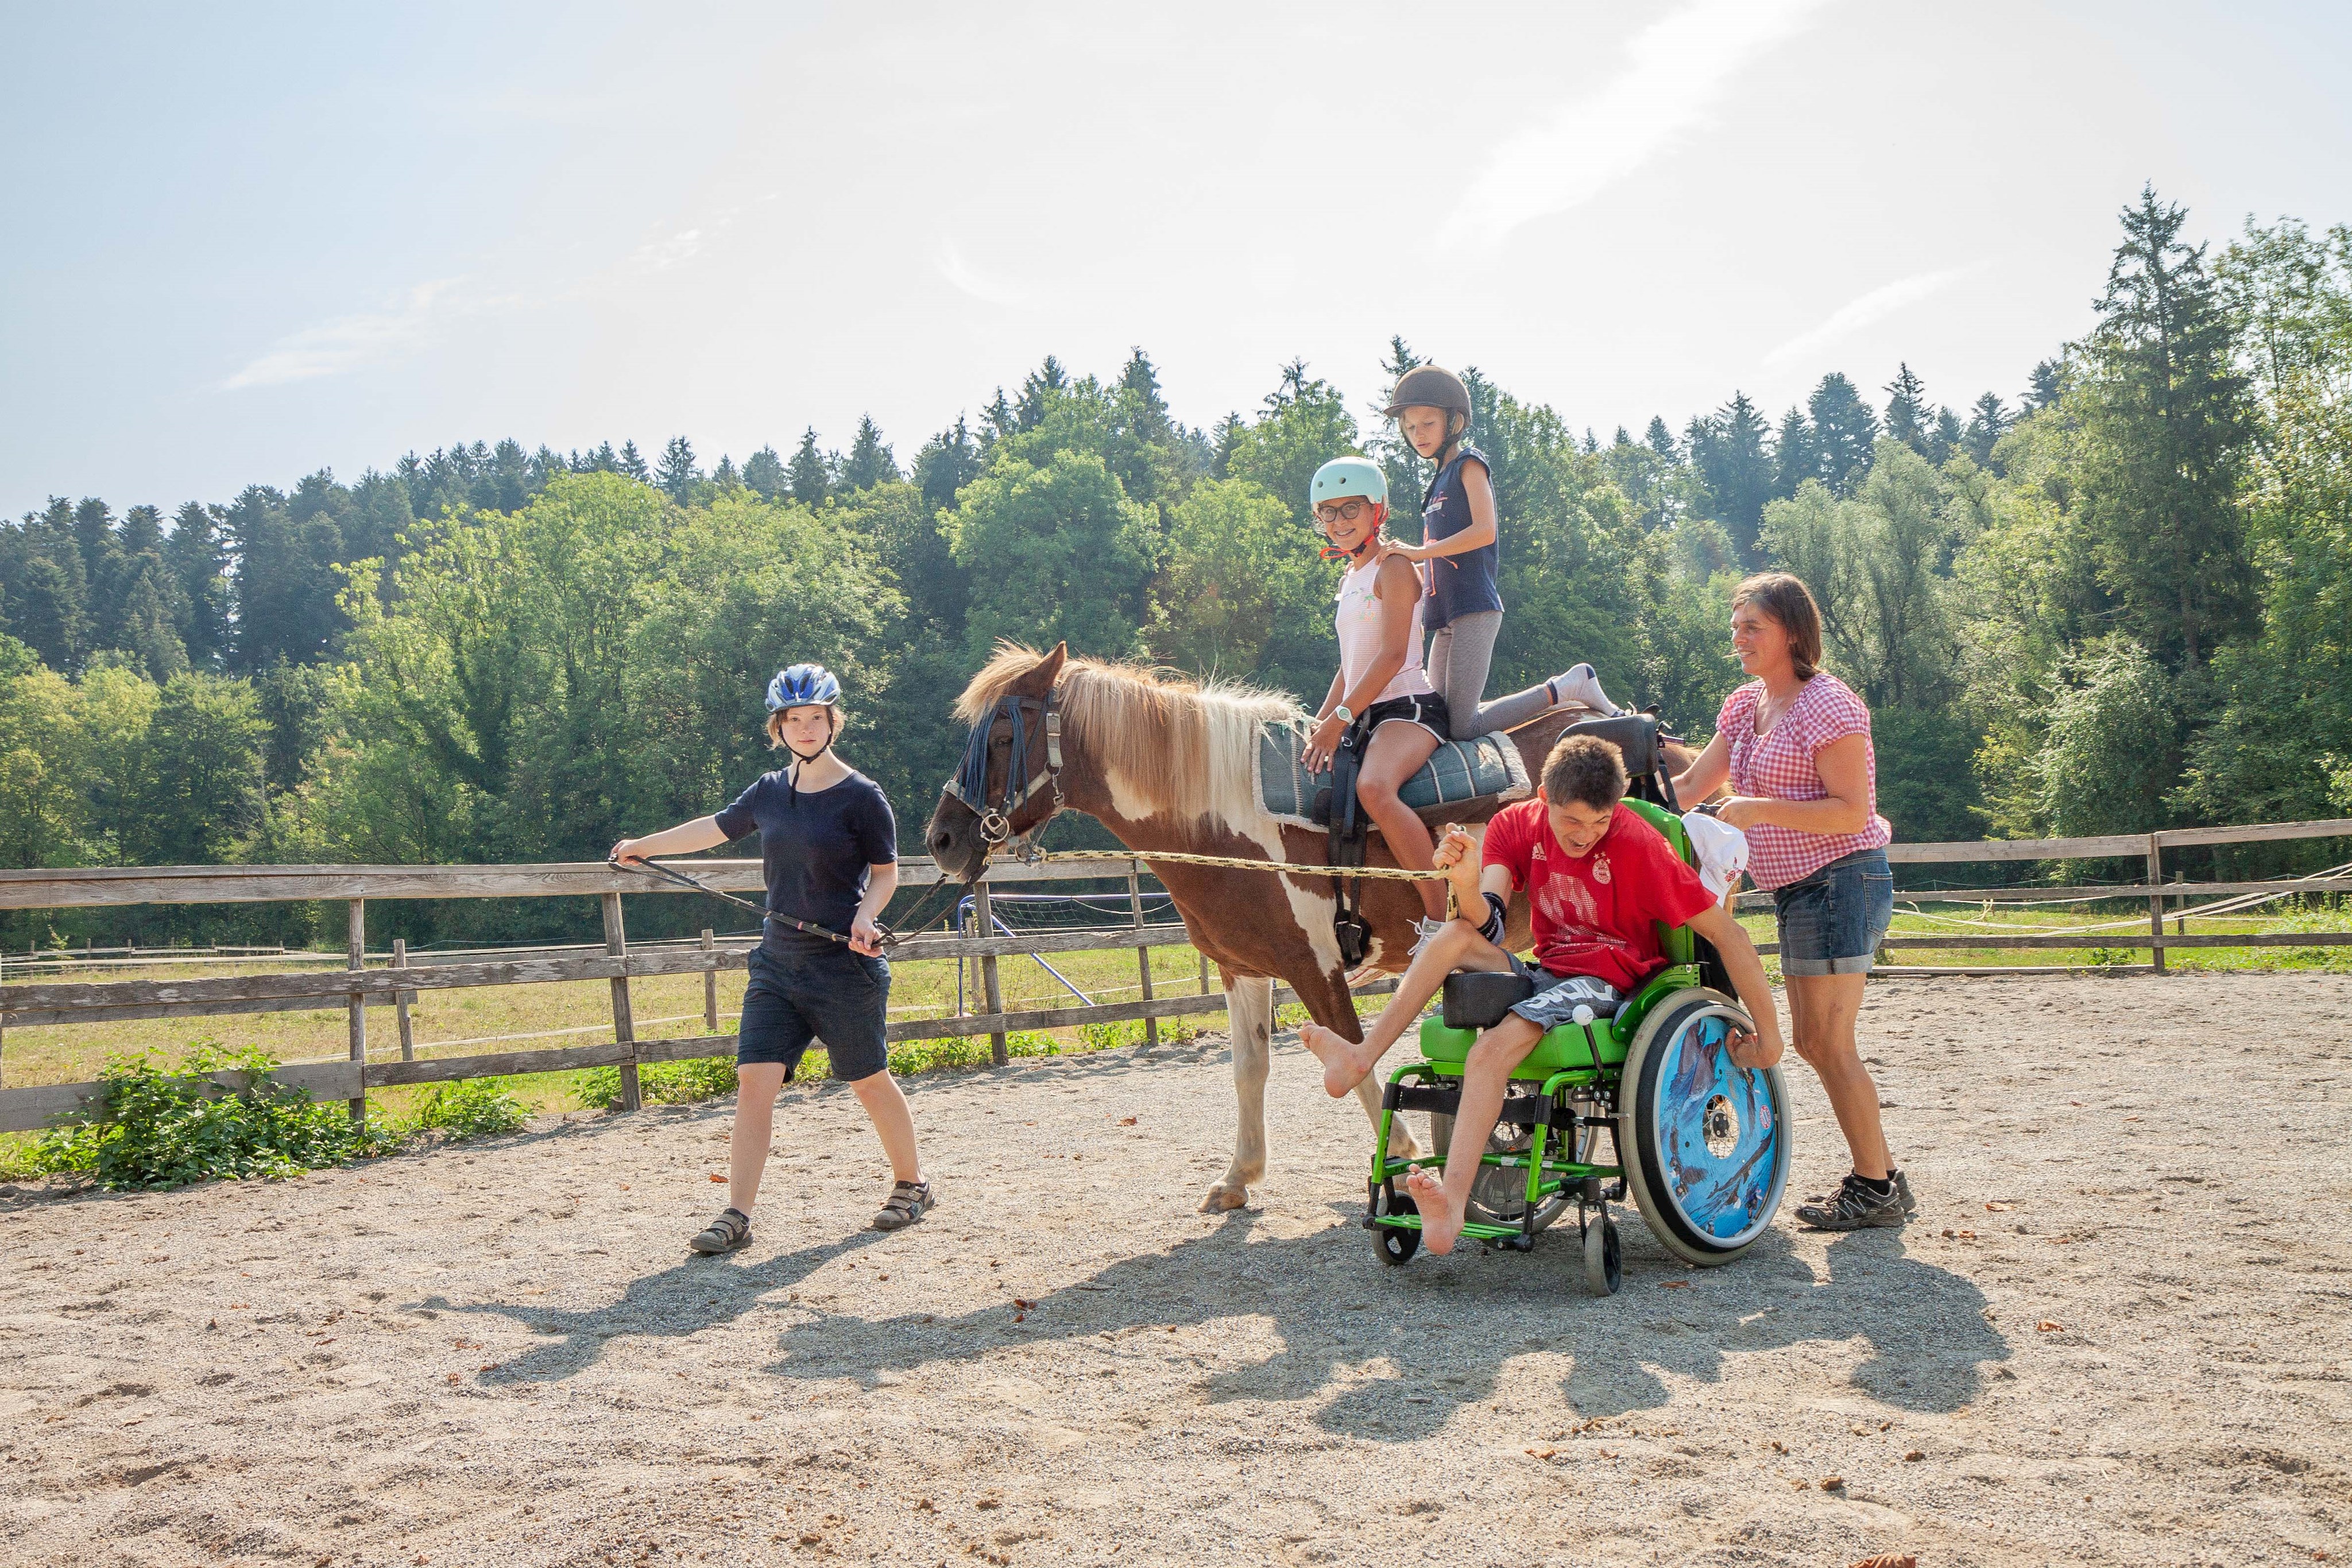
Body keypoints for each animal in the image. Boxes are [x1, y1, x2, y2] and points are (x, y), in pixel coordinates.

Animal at [926, 639, 1684, 1213]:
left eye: (1003, 735)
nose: (940, 839)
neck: (1224, 819)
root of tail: (1652, 738)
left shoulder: (1315, 967)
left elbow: (1353, 1056)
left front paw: (1403, 1151)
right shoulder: (1242, 968)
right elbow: (1249, 1069)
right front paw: (1238, 1177)